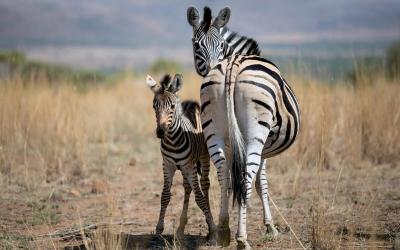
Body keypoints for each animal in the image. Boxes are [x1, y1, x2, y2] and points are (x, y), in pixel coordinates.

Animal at [145, 73, 217, 241]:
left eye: (172, 106)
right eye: (154, 106)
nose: (161, 132)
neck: (172, 141)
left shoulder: (189, 166)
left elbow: (200, 198)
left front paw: (212, 229)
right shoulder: (168, 165)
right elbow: (165, 195)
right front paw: (159, 228)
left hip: (202, 159)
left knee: (204, 185)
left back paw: (208, 224)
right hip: (184, 168)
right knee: (187, 187)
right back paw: (181, 228)